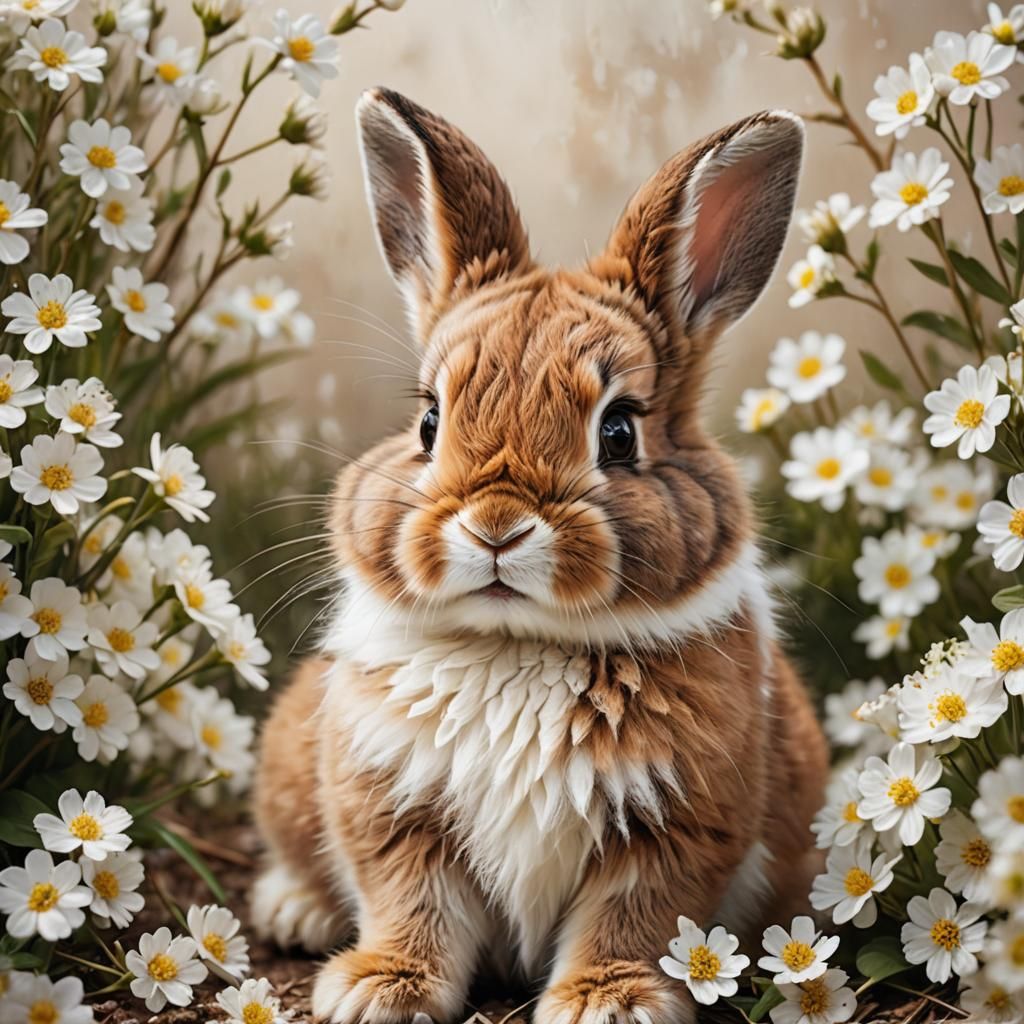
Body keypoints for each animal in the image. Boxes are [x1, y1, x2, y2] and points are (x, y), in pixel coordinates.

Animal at [252, 87, 828, 1024]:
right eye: (427, 421)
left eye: (620, 432)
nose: (497, 526)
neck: (519, 645)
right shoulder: (393, 807)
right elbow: (411, 903)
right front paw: (378, 990)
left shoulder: (676, 827)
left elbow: (636, 918)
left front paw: (607, 1002)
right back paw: (293, 911)